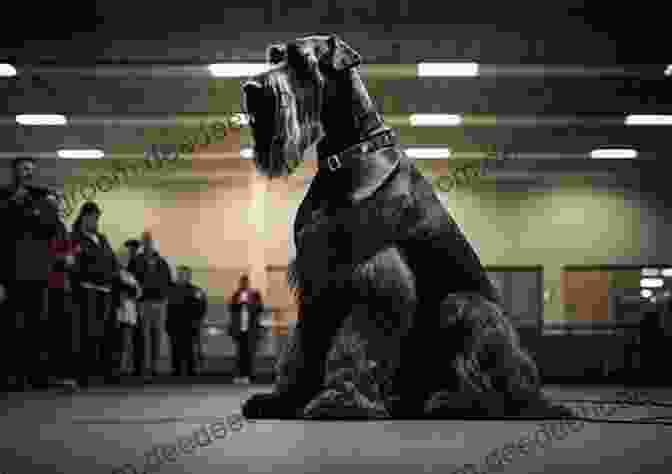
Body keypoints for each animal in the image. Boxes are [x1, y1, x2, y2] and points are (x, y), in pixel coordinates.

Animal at [242, 34, 568, 418]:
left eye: (301, 60)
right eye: (275, 55)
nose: (250, 87)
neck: (349, 157)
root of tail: (535, 394)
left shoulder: (372, 272)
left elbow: (355, 344)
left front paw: (341, 399)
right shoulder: (317, 277)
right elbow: (303, 346)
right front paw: (285, 398)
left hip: (466, 306)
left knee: (492, 387)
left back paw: (454, 401)